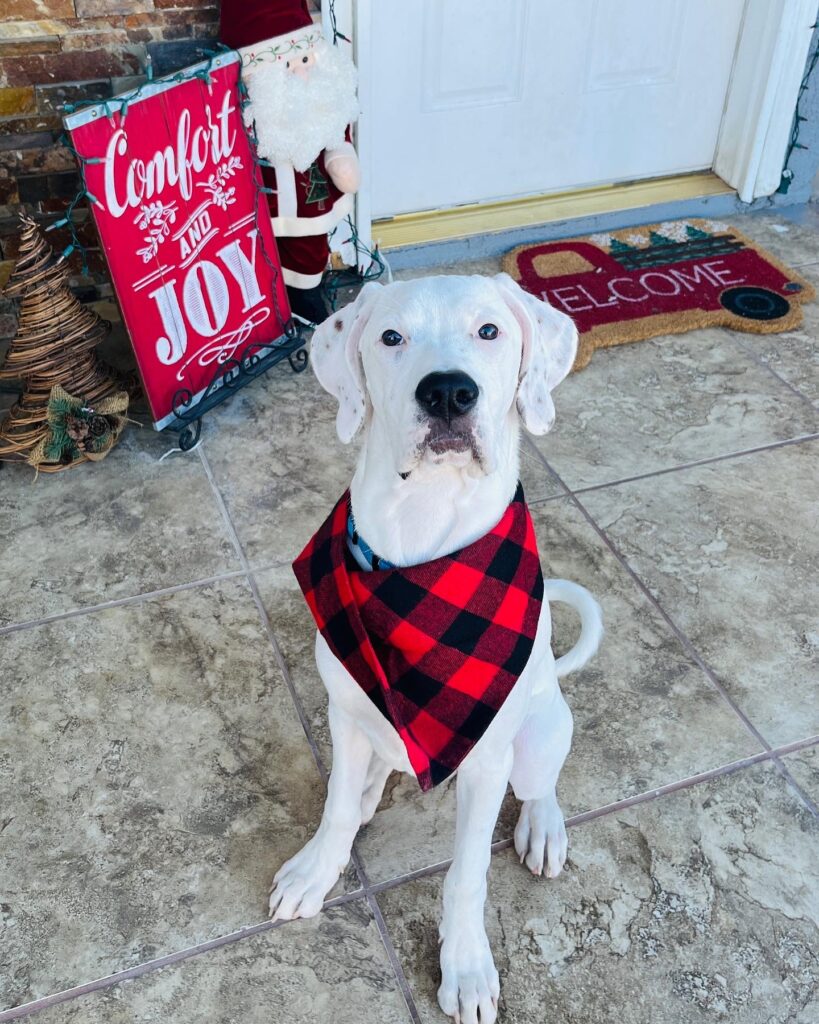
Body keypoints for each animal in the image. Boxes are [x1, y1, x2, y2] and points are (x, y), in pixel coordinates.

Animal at [270, 274, 601, 1024]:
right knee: (373, 772)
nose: (448, 392)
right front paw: (316, 870)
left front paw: (467, 965)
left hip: (540, 731)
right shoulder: (342, 712)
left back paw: (543, 827)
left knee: (541, 782)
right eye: (391, 337)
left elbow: (467, 874)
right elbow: (335, 807)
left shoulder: (484, 763)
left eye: (489, 331)